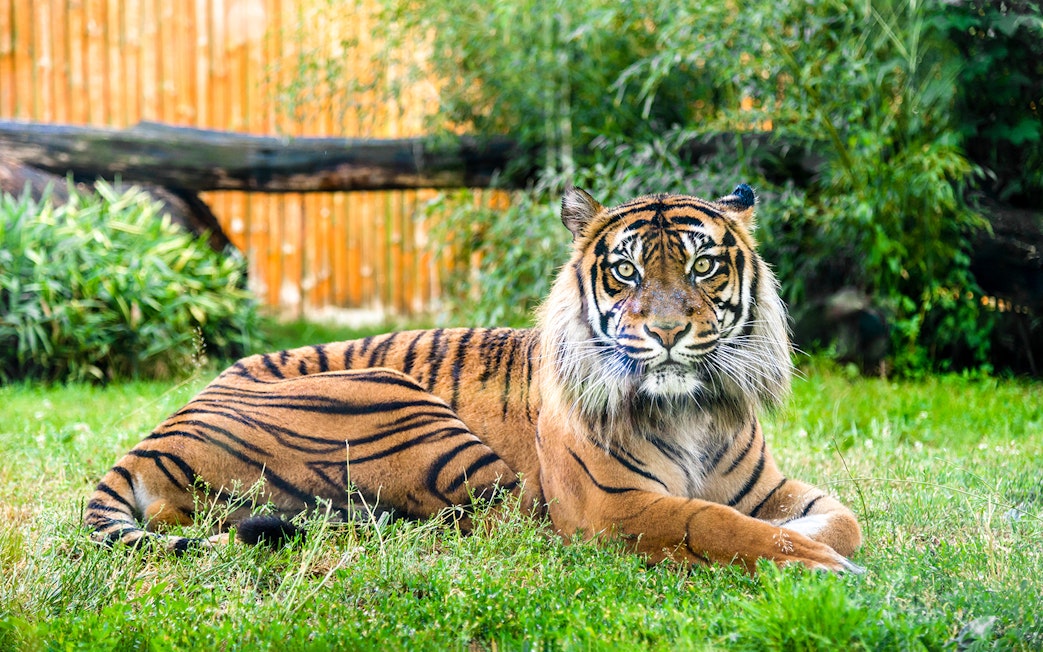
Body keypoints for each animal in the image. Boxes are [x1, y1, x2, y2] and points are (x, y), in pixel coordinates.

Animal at [85, 184, 863, 572]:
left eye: (703, 266)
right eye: (625, 270)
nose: (668, 333)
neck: (690, 410)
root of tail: (150, 439)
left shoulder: (765, 487)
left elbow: (842, 520)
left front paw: (820, 545)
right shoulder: (610, 506)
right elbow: (710, 520)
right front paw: (817, 566)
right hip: (404, 409)